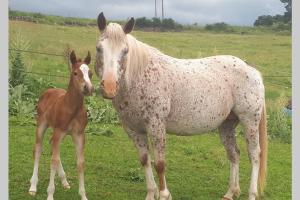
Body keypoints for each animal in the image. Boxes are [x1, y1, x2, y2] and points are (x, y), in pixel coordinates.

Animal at [29, 50, 93, 200]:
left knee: (52, 145)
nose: (88, 88)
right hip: (42, 125)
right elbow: (53, 160)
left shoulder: (79, 135)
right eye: (75, 73)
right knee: (38, 149)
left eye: (90, 73)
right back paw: (33, 186)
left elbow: (80, 163)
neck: (71, 108)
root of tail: (47, 91)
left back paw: (64, 181)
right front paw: (50, 194)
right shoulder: (58, 131)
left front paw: (83, 195)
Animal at [94, 12, 268, 200]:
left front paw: (164, 194)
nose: (109, 87)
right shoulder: (134, 130)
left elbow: (160, 163)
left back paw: (252, 193)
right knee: (234, 154)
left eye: (125, 51)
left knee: (254, 155)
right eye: (99, 48)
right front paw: (151, 193)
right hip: (226, 125)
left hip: (250, 121)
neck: (139, 77)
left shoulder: (156, 126)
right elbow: (145, 160)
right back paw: (231, 192)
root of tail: (251, 69)